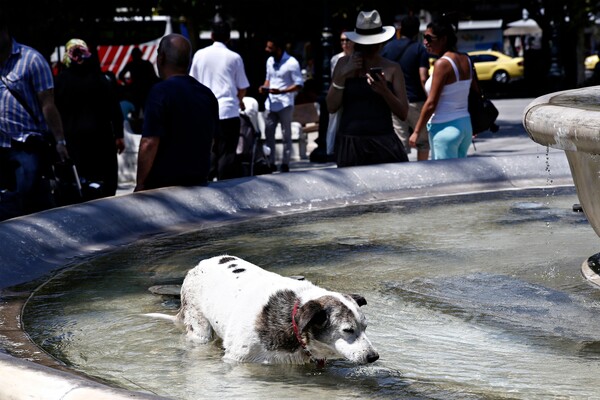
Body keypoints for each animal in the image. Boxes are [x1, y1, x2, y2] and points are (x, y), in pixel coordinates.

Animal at [159, 256, 378, 366]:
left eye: (366, 327)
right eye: (347, 330)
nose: (373, 357)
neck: (292, 320)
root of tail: (198, 265)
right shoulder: (237, 360)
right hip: (199, 328)